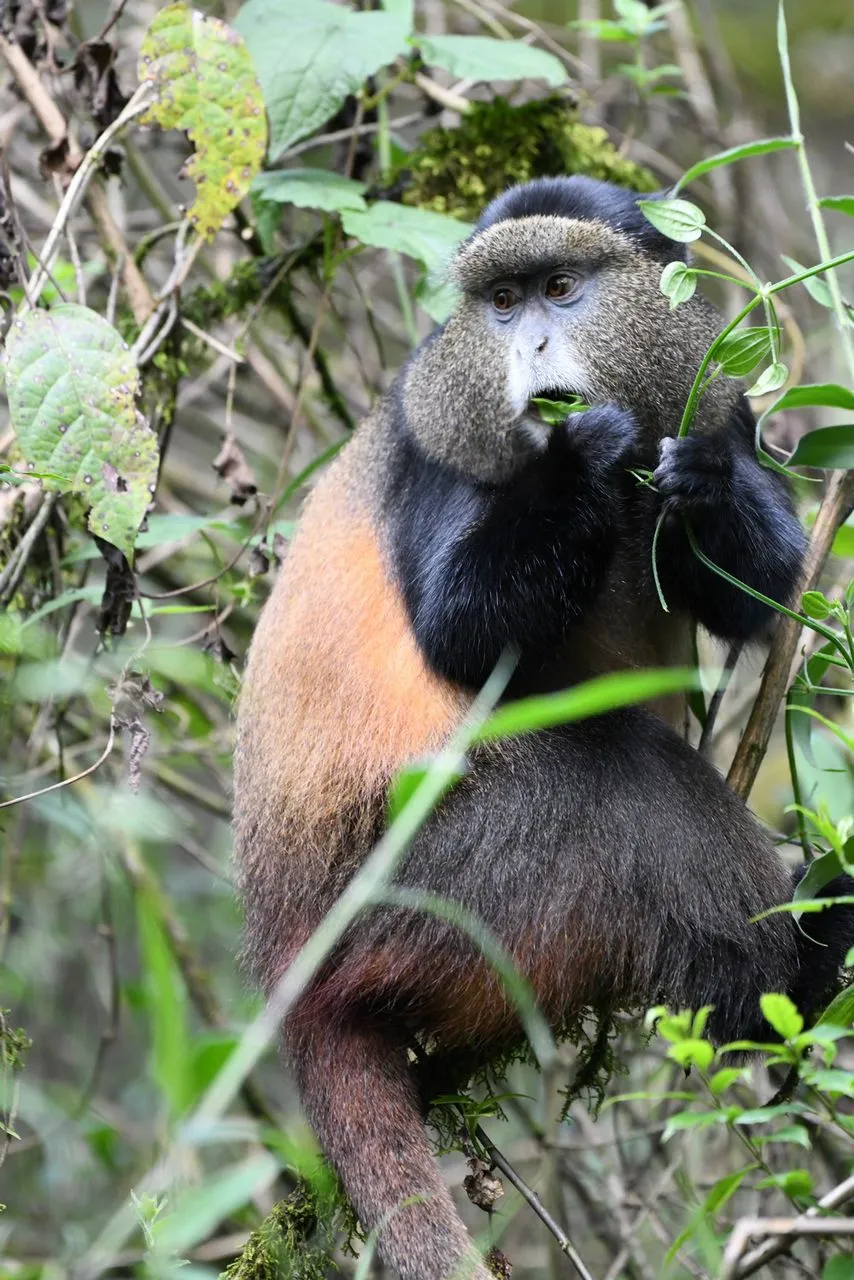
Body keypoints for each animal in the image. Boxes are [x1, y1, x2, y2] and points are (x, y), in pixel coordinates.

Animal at [234, 176, 854, 1280]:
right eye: (501, 303)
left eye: (560, 289)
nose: (528, 347)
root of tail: (285, 948)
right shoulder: (440, 454)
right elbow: (459, 633)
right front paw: (577, 460)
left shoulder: (719, 401)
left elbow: (760, 594)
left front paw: (702, 484)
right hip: (445, 882)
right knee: (629, 792)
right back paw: (793, 979)